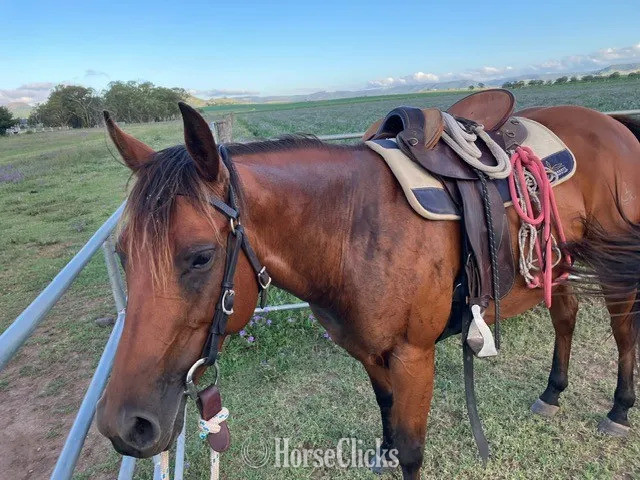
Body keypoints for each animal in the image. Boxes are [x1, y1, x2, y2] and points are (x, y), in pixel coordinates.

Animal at [95, 102, 640, 479]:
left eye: (201, 256)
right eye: (122, 253)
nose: (125, 426)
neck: (352, 228)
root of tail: (612, 123)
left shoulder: (414, 356)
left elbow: (413, 449)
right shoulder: (367, 351)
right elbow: (386, 416)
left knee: (622, 332)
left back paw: (618, 409)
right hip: (558, 264)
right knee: (566, 317)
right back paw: (552, 392)